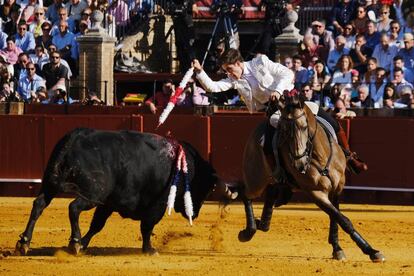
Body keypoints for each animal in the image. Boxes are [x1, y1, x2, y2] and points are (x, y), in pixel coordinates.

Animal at [15, 128, 223, 256]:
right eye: (206, 188)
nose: (195, 214)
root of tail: (74, 138)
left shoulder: (108, 204)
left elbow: (97, 225)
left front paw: (84, 244)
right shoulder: (158, 205)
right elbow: (147, 227)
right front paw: (149, 250)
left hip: (51, 185)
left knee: (39, 204)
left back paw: (24, 242)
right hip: (93, 192)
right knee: (73, 208)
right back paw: (73, 241)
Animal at [238, 91, 386, 264]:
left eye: (304, 127)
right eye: (283, 131)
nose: (299, 164)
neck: (319, 156)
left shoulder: (338, 187)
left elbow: (336, 216)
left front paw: (339, 249)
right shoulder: (315, 192)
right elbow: (342, 219)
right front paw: (370, 251)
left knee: (270, 194)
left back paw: (262, 222)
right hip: (255, 179)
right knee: (245, 194)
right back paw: (249, 231)